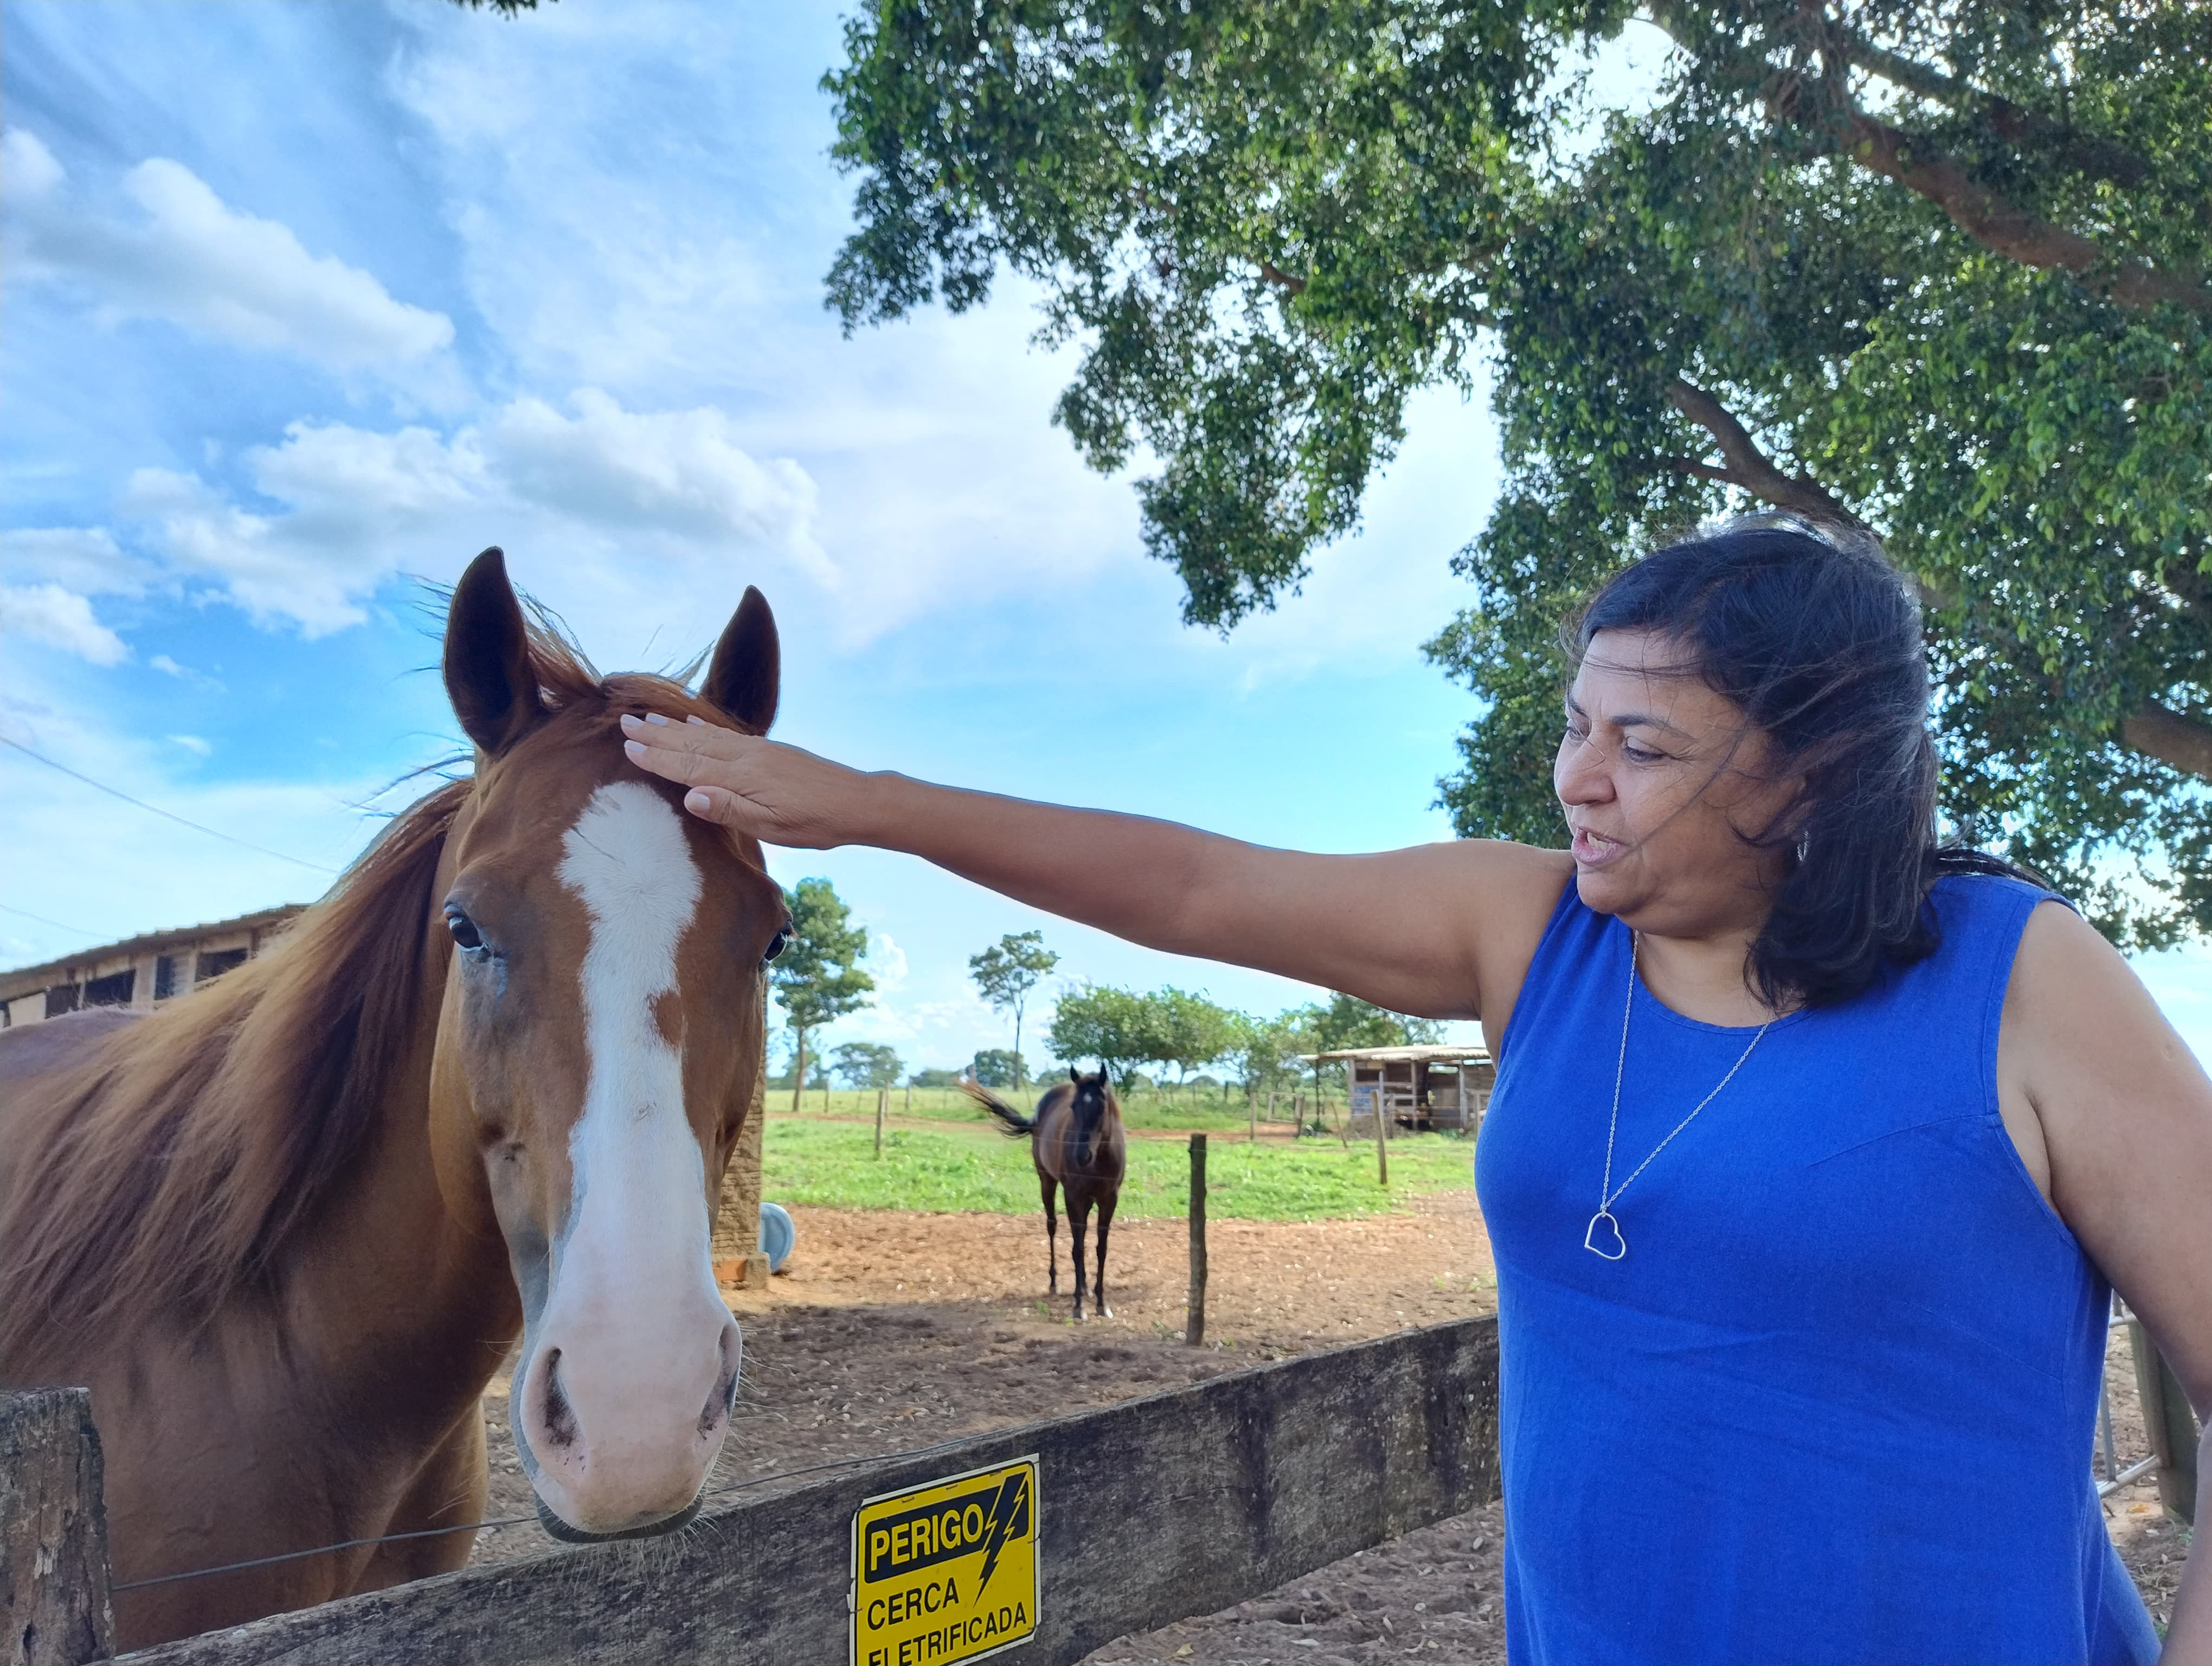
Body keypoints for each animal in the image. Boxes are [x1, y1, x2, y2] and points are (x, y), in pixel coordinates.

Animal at [964, 1071, 1123, 1318]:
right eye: (1074, 1107)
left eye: (1101, 1107)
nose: (1082, 1155)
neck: (1100, 1159)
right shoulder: (1073, 1196)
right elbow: (1077, 1249)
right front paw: (1078, 1307)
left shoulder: (1109, 1199)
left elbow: (1101, 1249)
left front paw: (1101, 1303)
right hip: (1047, 1182)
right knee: (1053, 1226)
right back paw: (1055, 1284)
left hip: (1087, 1199)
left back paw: (1085, 1288)